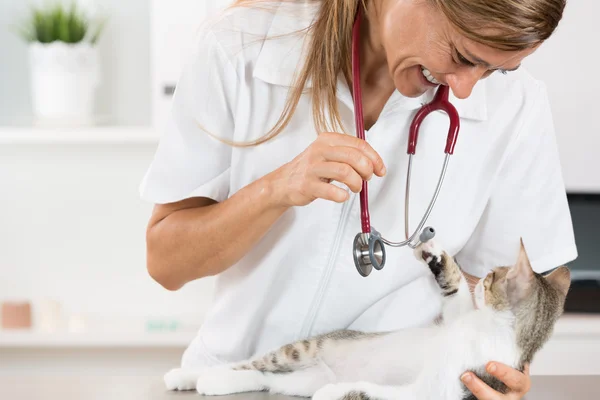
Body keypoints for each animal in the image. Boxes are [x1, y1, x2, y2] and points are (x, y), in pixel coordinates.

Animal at [164, 239, 572, 398]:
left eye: (490, 278)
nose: (481, 280)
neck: (487, 330)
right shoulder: (458, 319)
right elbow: (453, 293)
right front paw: (437, 254)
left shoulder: (439, 390)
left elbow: (369, 391)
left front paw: (336, 393)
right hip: (304, 348)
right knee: (251, 364)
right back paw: (188, 375)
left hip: (301, 375)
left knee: (265, 378)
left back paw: (211, 382)